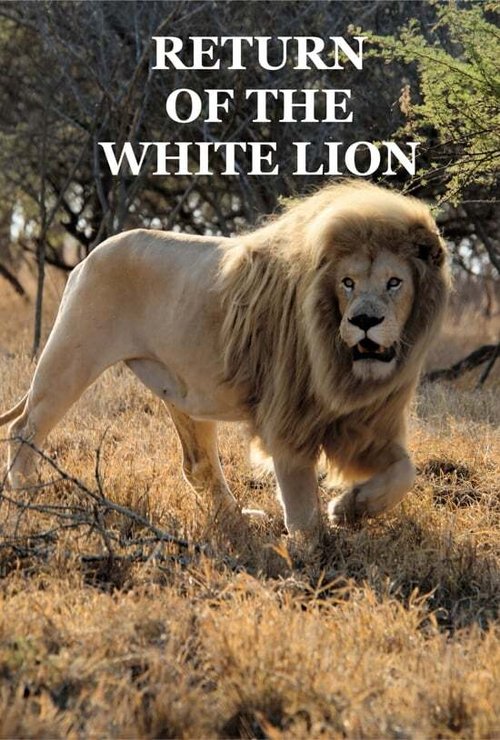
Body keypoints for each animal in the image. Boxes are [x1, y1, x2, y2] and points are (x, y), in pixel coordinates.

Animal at [0, 181, 449, 540]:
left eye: (394, 282)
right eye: (348, 282)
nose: (364, 322)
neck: (344, 366)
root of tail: (90, 256)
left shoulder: (366, 422)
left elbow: (405, 471)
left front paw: (349, 509)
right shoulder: (288, 418)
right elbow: (302, 504)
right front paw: (312, 550)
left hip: (183, 390)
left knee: (197, 464)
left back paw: (241, 521)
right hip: (71, 356)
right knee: (25, 427)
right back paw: (26, 494)